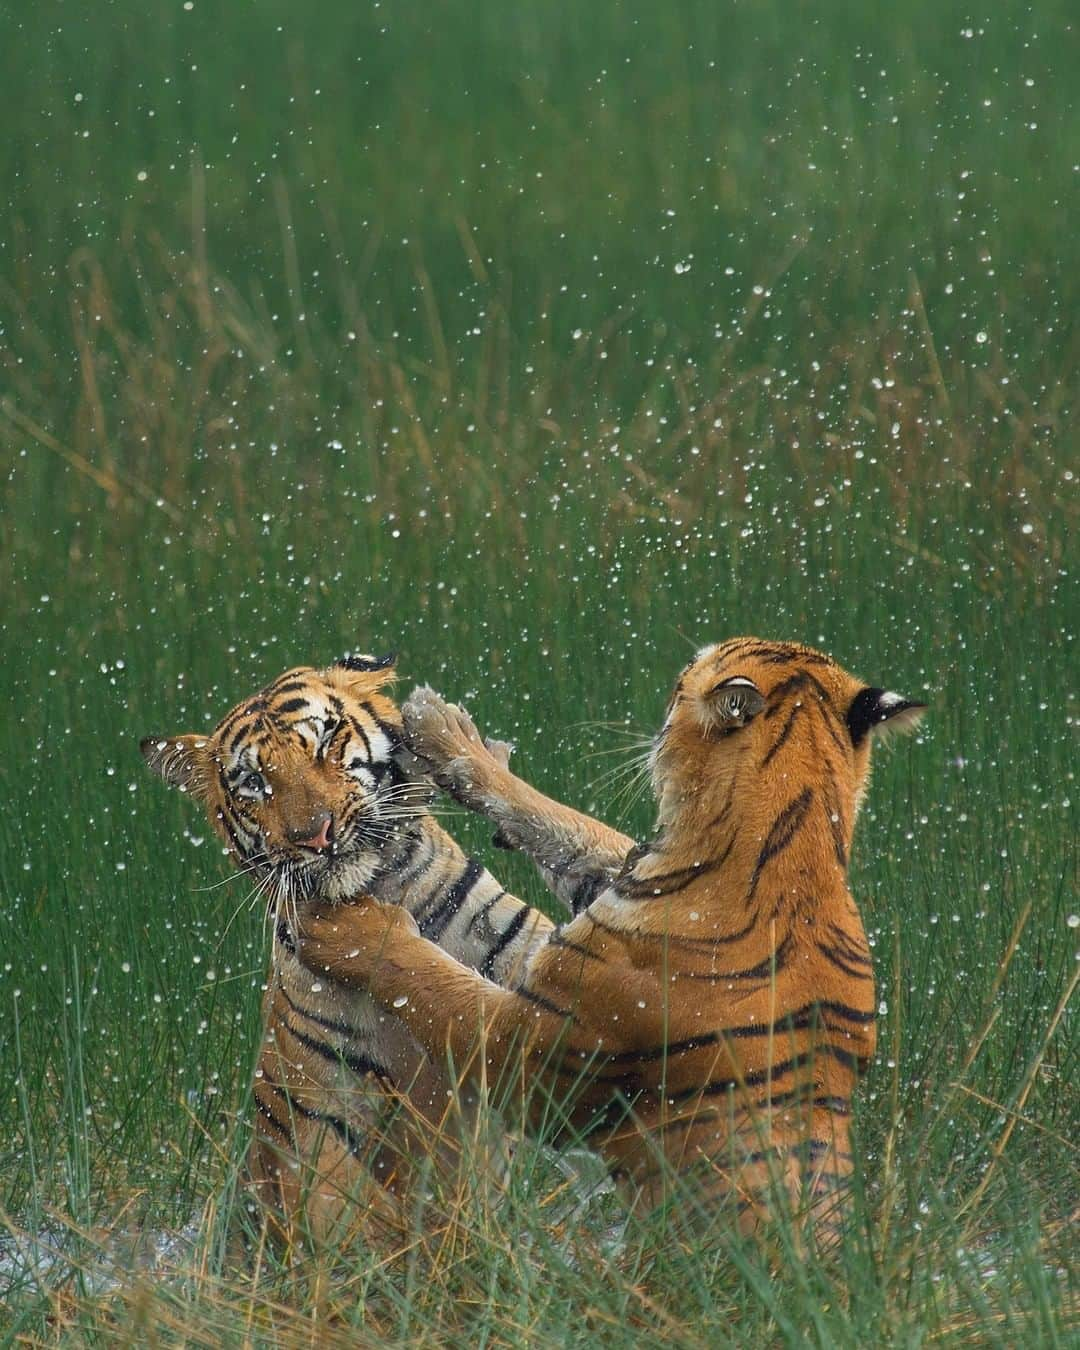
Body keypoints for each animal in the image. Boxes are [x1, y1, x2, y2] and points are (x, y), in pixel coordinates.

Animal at [140, 653, 561, 1252]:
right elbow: (351, 1219)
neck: (382, 891)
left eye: (324, 740)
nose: (316, 834)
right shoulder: (318, 1121)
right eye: (253, 782)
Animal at [291, 642, 923, 1242]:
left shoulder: (528, 1049)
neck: (799, 837)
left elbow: (433, 980)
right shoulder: (618, 872)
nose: (673, 683)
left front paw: (342, 930)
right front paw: (451, 731)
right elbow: (561, 822)